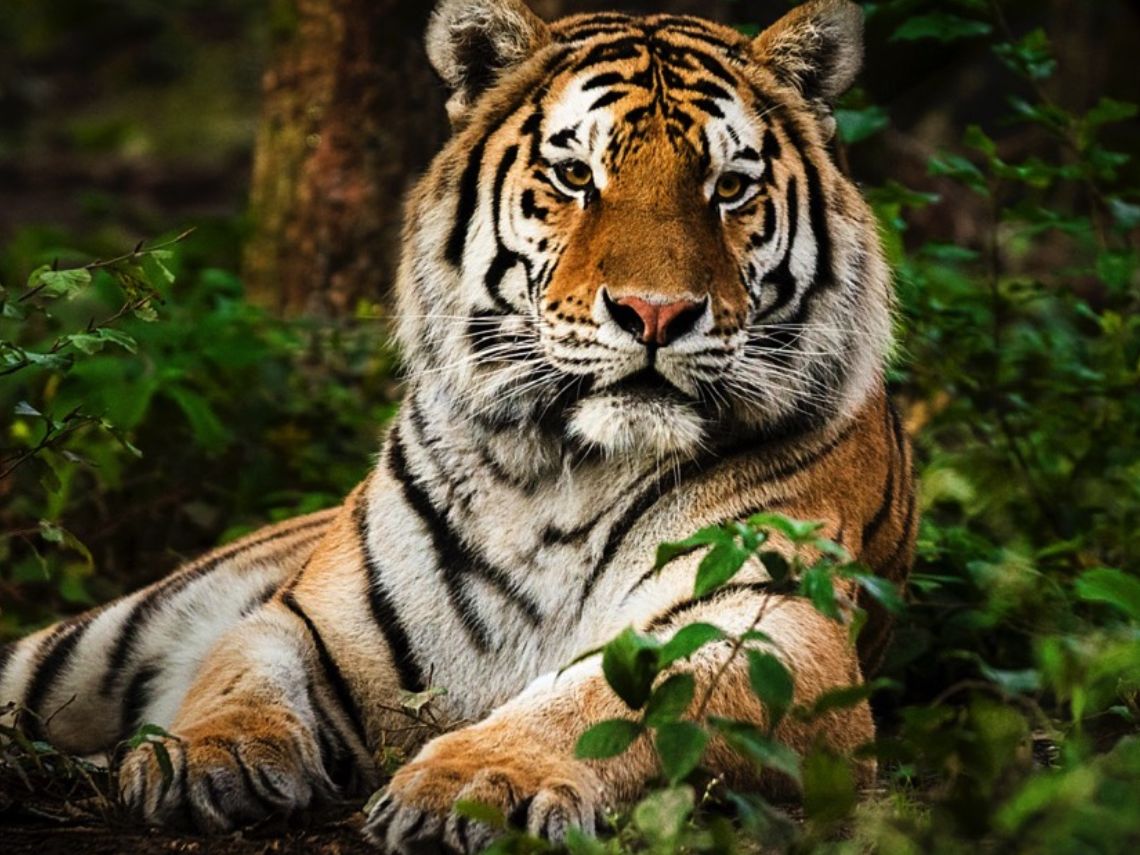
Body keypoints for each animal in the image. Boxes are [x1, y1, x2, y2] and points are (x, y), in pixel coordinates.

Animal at [0, 0, 916, 851]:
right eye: (575, 175)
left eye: (728, 187)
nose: (655, 313)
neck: (566, 469)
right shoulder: (312, 616)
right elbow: (239, 672)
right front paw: (202, 755)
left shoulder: (772, 623)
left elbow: (612, 699)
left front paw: (477, 783)